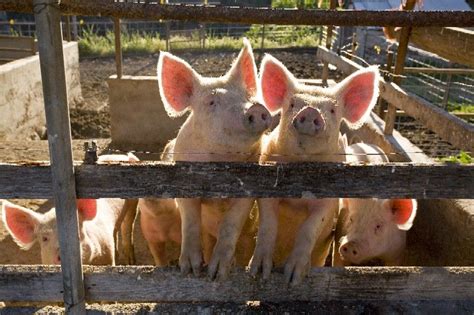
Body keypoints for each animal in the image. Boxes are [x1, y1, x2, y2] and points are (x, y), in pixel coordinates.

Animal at [157, 39, 270, 278]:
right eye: (211, 102)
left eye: (248, 97)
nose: (255, 108)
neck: (220, 160)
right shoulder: (183, 181)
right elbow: (190, 222)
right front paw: (191, 270)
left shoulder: (249, 190)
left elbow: (231, 223)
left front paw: (217, 274)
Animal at [250, 55, 380, 286]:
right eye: (292, 104)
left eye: (332, 111)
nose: (310, 111)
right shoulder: (266, 186)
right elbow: (268, 224)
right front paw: (259, 273)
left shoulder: (329, 201)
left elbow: (309, 228)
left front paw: (293, 278)